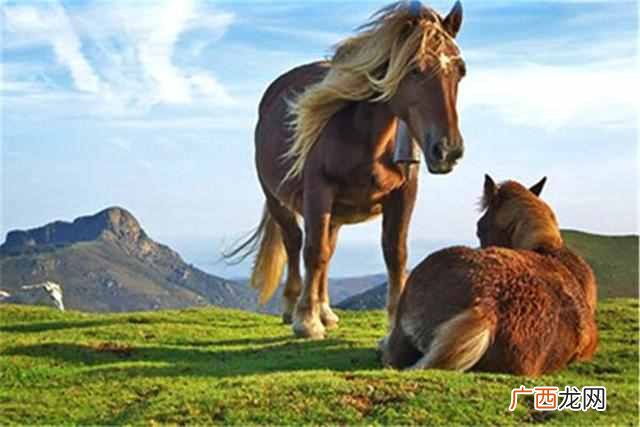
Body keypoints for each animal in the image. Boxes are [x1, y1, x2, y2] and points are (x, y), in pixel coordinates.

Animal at [226, 1, 466, 339]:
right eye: (414, 69)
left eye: (461, 71)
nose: (447, 150)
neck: (365, 136)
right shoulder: (318, 191)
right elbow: (313, 251)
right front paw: (306, 321)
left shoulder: (404, 193)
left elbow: (395, 253)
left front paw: (393, 324)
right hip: (278, 200)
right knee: (295, 243)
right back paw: (293, 307)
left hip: (337, 213)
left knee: (328, 250)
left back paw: (325, 310)